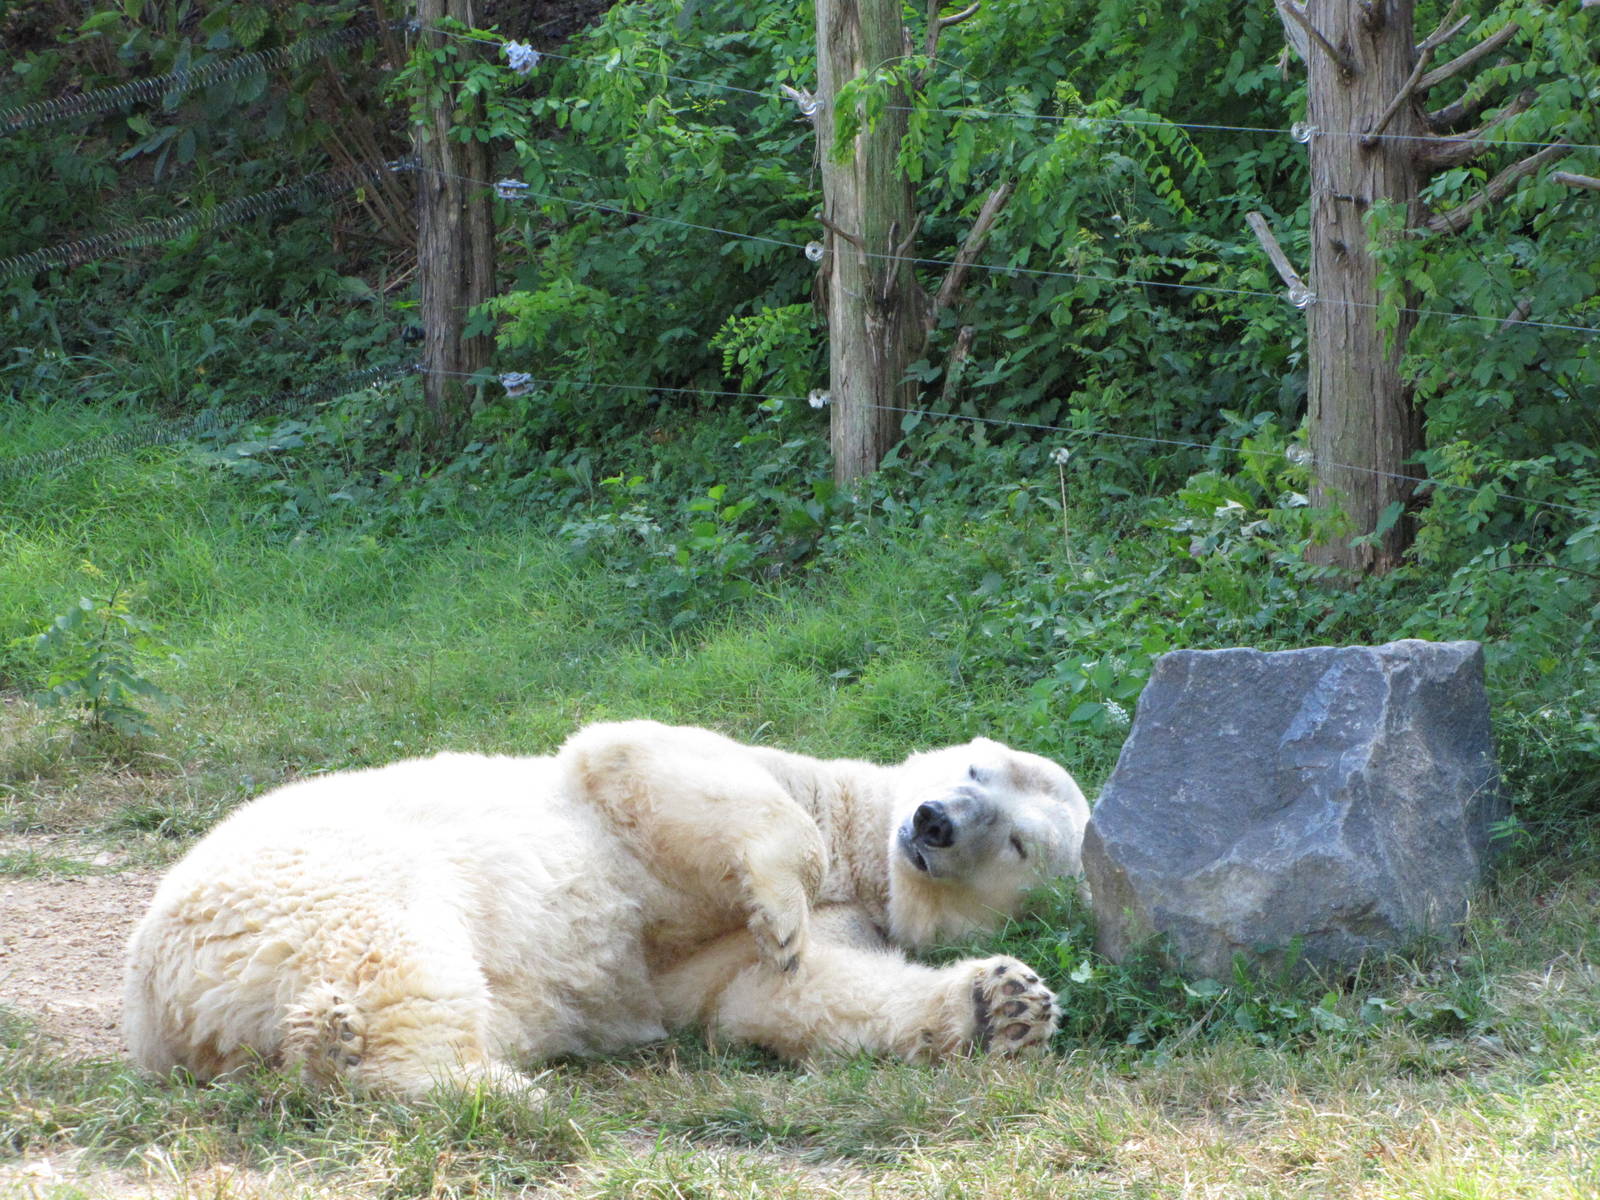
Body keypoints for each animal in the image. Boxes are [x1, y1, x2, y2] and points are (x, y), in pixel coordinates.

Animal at [123, 720, 1090, 1097]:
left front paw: (1006, 1005)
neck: (866, 856)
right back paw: (492, 1089)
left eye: (1017, 844)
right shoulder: (765, 781)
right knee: (405, 950)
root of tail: (159, 1006)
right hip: (317, 878)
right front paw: (781, 911)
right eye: (973, 770)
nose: (931, 822)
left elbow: (779, 994)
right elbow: (638, 759)